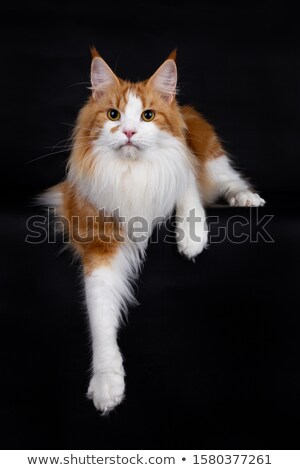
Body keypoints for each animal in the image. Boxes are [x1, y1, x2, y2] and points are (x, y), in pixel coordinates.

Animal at [44, 47, 264, 414]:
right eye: (114, 115)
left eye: (148, 116)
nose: (130, 133)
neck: (133, 171)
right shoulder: (98, 240)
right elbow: (100, 316)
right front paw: (107, 383)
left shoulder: (181, 164)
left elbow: (186, 188)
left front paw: (192, 238)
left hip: (211, 156)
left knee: (229, 180)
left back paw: (247, 198)